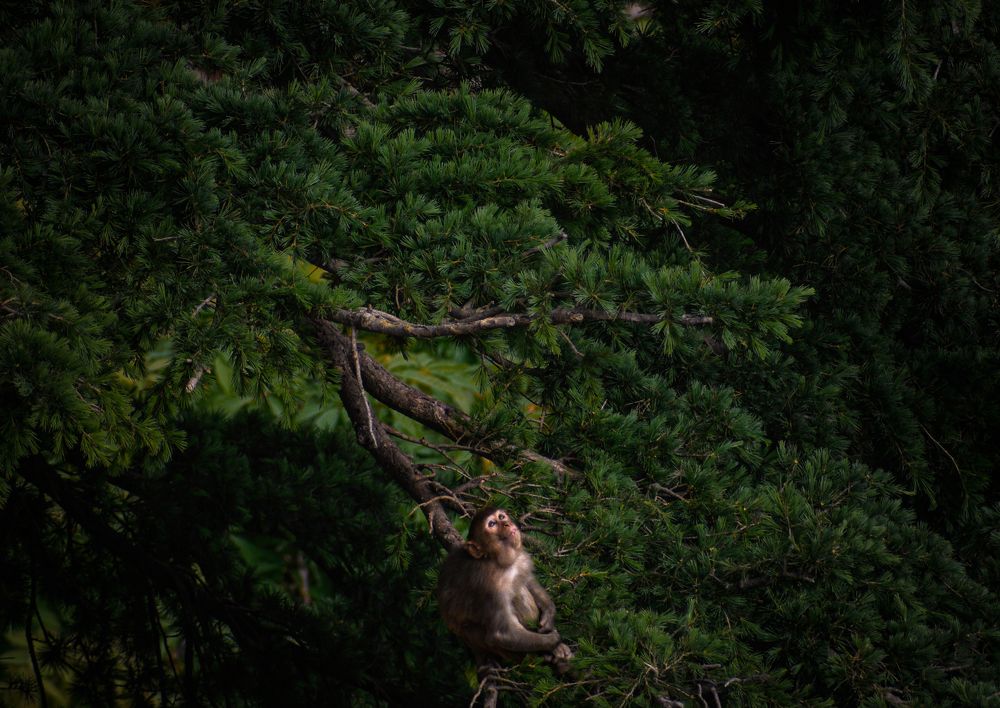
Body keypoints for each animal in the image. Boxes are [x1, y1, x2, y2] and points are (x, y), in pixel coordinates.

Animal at [437, 506, 573, 675]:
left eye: (501, 517)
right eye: (492, 524)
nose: (507, 523)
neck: (495, 560)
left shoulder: (520, 560)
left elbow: (527, 580)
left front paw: (549, 615)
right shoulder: (490, 587)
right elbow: (502, 634)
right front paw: (553, 641)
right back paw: (547, 654)